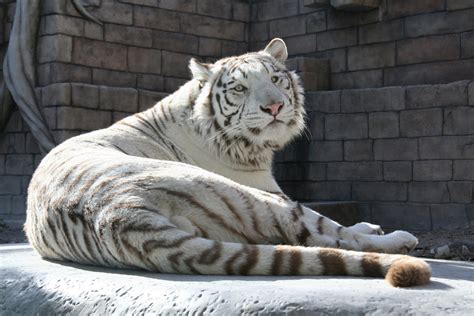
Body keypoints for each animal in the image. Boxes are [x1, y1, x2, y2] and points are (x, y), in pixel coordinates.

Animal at [25, 39, 430, 286]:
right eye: (239, 88)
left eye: (276, 78)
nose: (274, 107)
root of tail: (118, 217)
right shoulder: (269, 189)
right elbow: (335, 227)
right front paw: (375, 228)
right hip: (250, 198)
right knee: (321, 233)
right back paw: (399, 239)